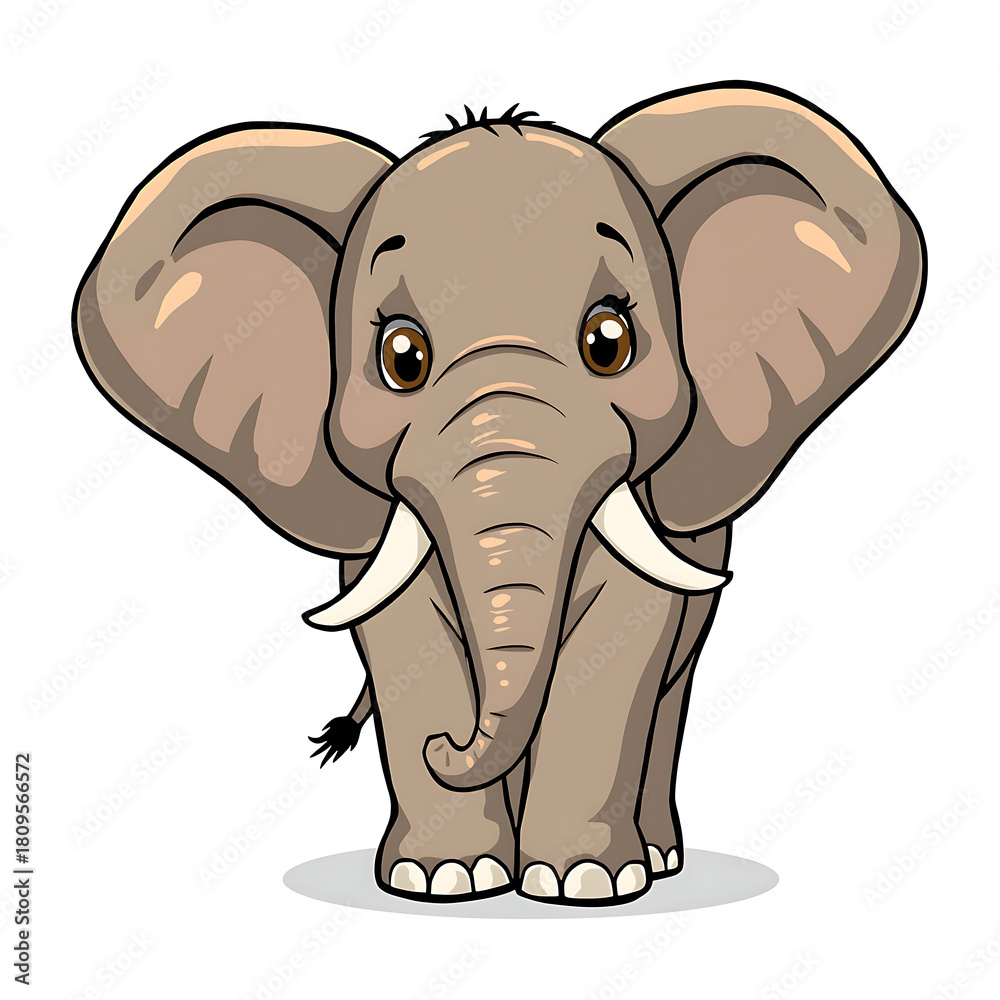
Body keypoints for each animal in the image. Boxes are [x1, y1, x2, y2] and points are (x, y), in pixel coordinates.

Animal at [73, 83, 925, 906]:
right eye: (402, 358)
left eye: (609, 342)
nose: (444, 747)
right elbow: (404, 635)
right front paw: (446, 879)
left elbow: (617, 647)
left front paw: (584, 884)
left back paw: (658, 856)